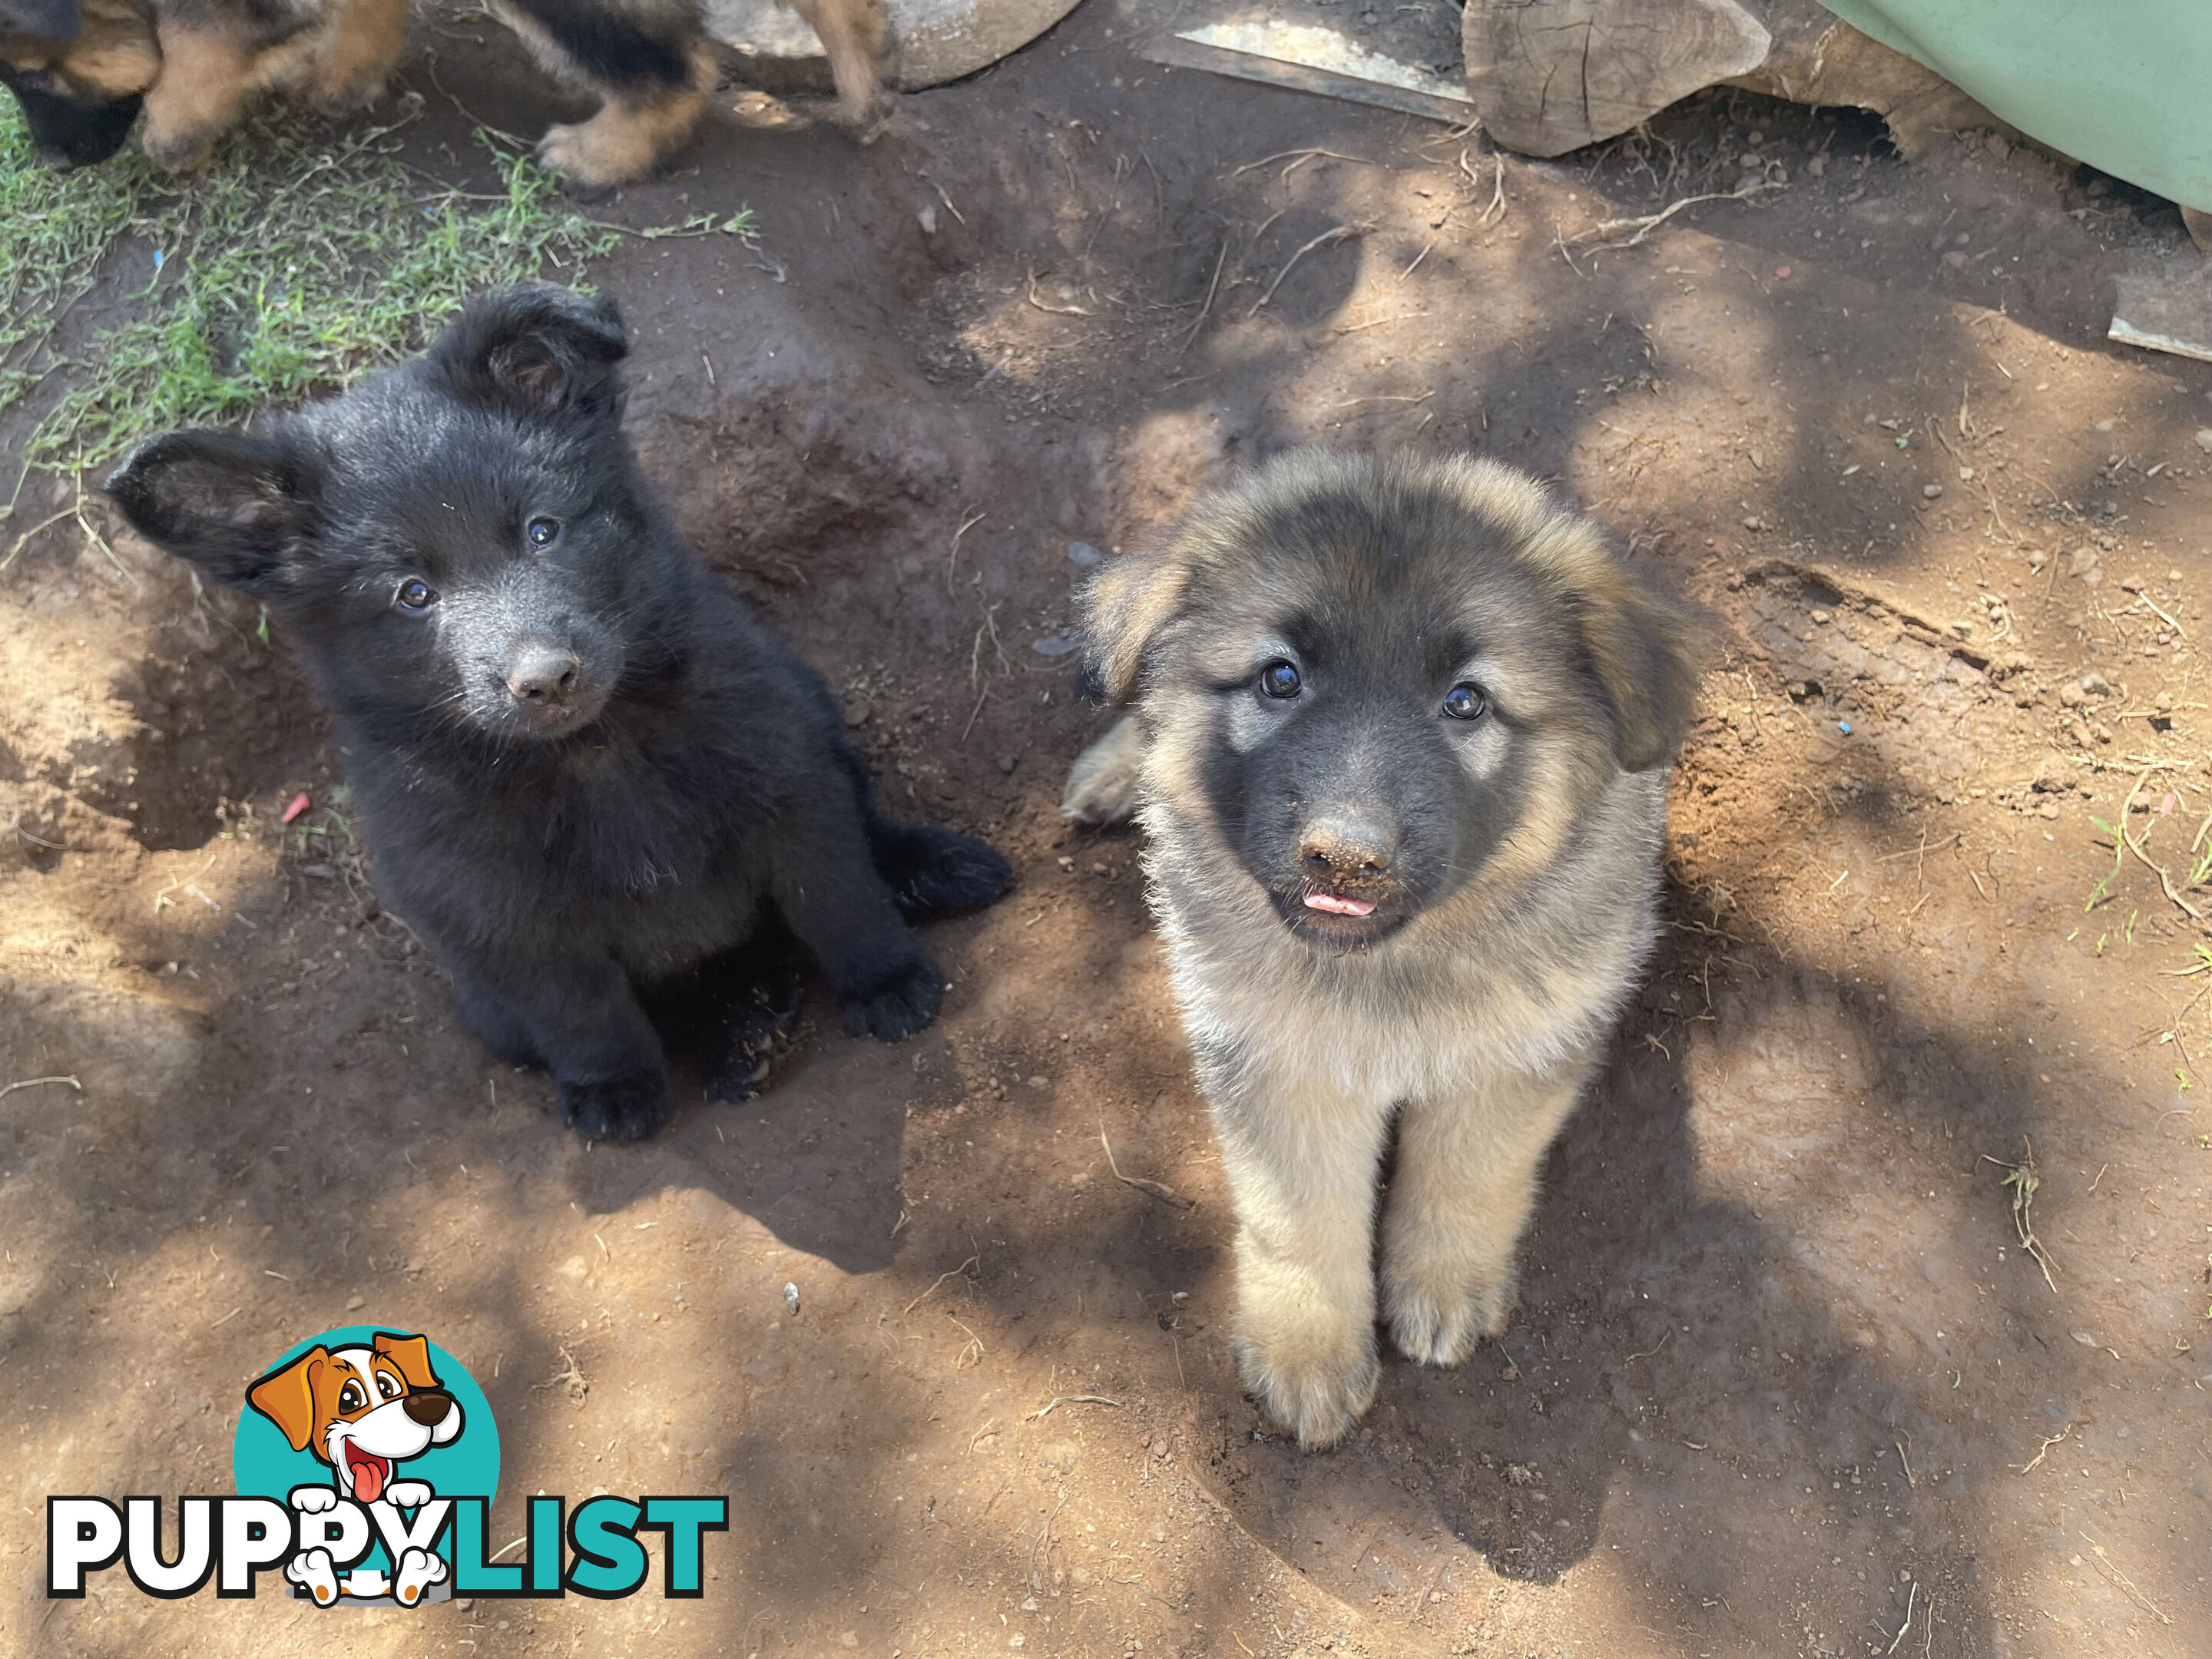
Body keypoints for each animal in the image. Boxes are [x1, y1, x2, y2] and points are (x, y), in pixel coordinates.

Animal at [116, 285, 1013, 1141]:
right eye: (412, 594)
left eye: (543, 531)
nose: (544, 678)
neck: (594, 753)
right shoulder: (497, 915)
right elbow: (579, 1006)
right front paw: (612, 1088)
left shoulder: (785, 778)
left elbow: (835, 893)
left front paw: (886, 980)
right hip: (490, 1006)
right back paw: (739, 1035)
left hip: (812, 708)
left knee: (861, 830)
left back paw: (933, 870)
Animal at [1061, 455, 1698, 1451]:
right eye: (1281, 678)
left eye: (1466, 702)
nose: (1345, 855)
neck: (1391, 970)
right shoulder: (1278, 1061)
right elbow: (1297, 1218)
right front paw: (1307, 1348)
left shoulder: (1518, 1051)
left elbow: (1470, 1175)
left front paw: (1443, 1285)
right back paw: (1119, 767)